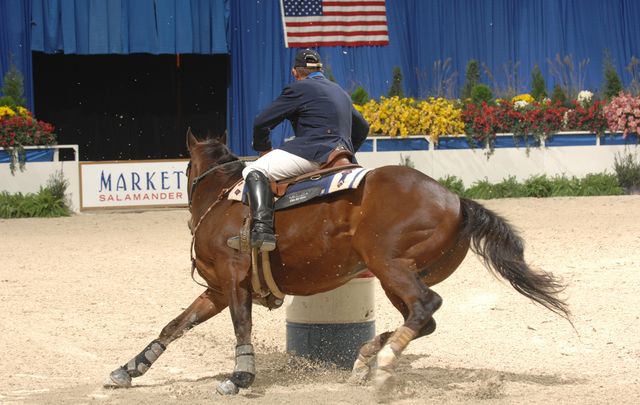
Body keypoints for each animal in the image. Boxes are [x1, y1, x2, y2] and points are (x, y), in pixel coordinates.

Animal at [106, 131, 568, 396]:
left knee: (426, 307)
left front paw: (240, 377)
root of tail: (454, 198)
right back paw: (367, 359)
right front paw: (131, 368)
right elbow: (174, 326)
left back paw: (383, 363)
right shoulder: (217, 289)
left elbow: (241, 327)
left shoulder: (234, 284)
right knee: (422, 319)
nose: (187, 217)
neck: (225, 199)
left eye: (185, 167)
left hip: (391, 266)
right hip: (394, 275)